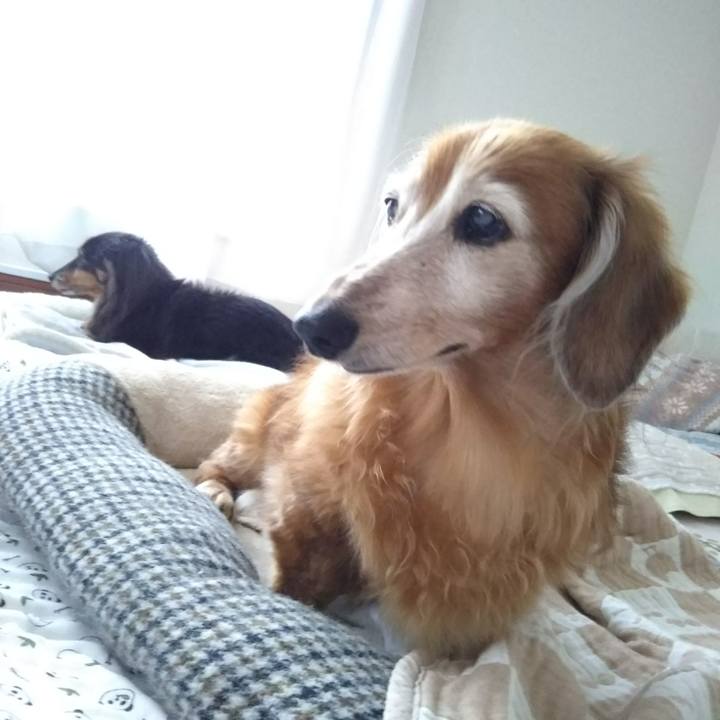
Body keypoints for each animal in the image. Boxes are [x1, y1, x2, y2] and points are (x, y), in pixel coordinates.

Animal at [194, 120, 688, 656]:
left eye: (483, 220)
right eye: (392, 206)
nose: (308, 326)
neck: (468, 421)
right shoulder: (309, 509)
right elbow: (301, 569)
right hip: (255, 432)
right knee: (218, 465)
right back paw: (219, 492)